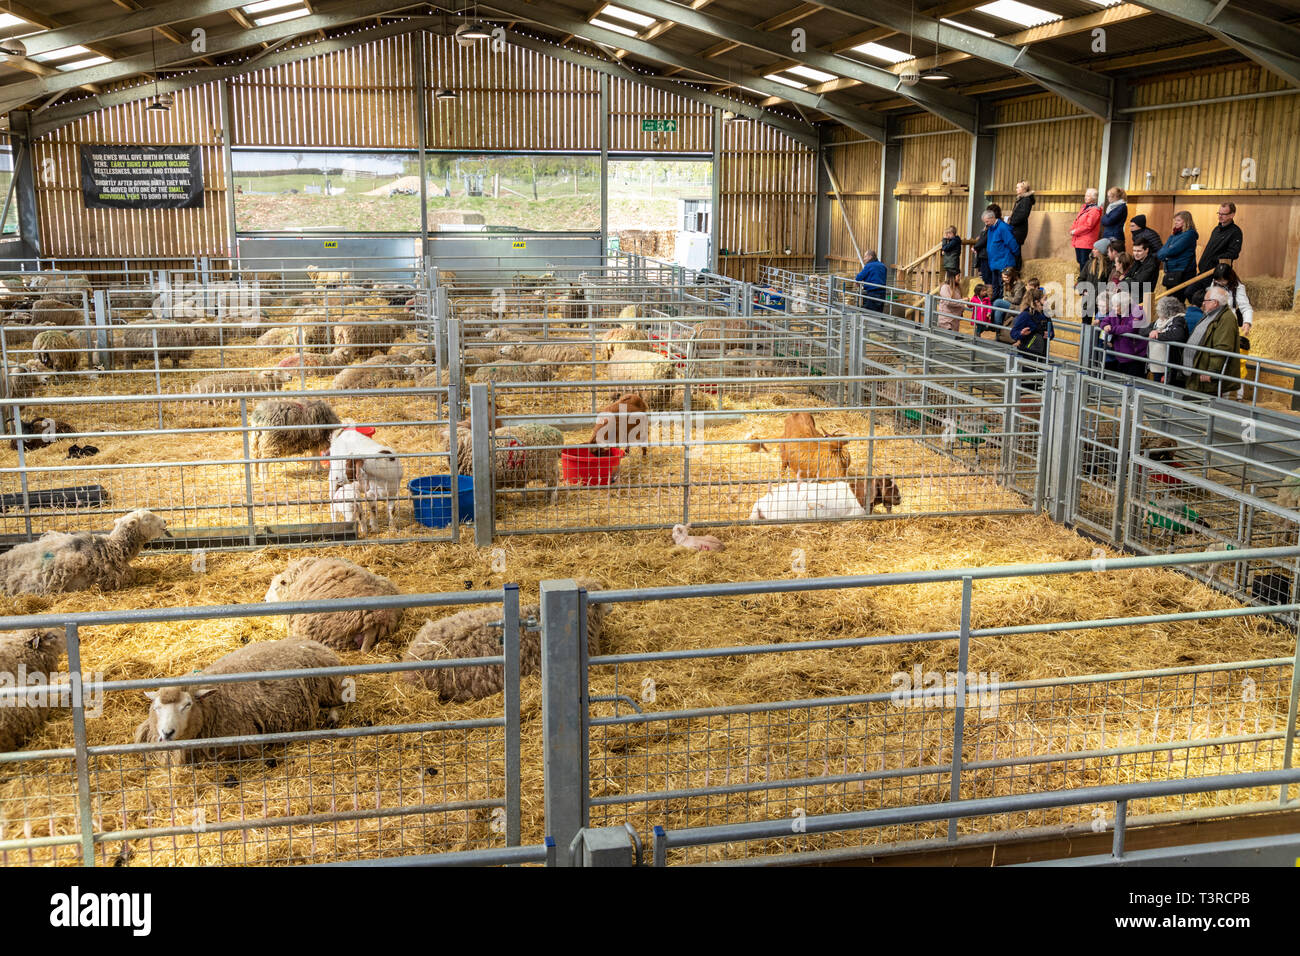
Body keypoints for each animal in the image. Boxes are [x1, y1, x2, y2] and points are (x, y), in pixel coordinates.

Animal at [131, 639, 348, 764]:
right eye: (157, 708)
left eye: (187, 705)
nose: (167, 733)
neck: (211, 706)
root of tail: (313, 642)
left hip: (330, 687)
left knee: (336, 704)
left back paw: (332, 718)